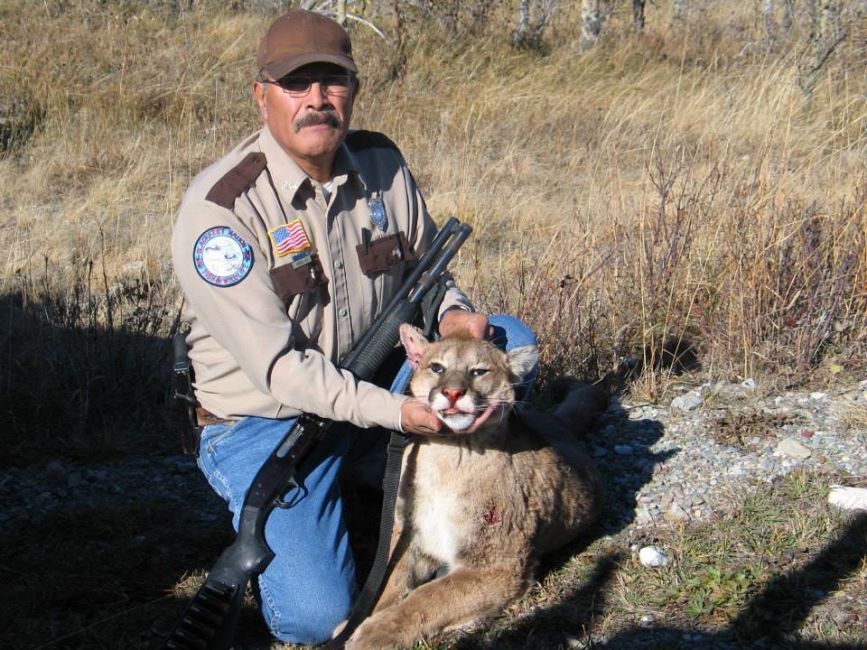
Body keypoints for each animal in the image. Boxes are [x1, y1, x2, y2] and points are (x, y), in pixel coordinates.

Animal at [346, 322, 604, 644]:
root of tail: (556, 422)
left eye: (479, 371)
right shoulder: (410, 540)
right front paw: (349, 624)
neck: (447, 455)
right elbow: (386, 585)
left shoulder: (495, 565)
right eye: (437, 367)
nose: (453, 393)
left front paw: (375, 632)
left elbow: (430, 597)